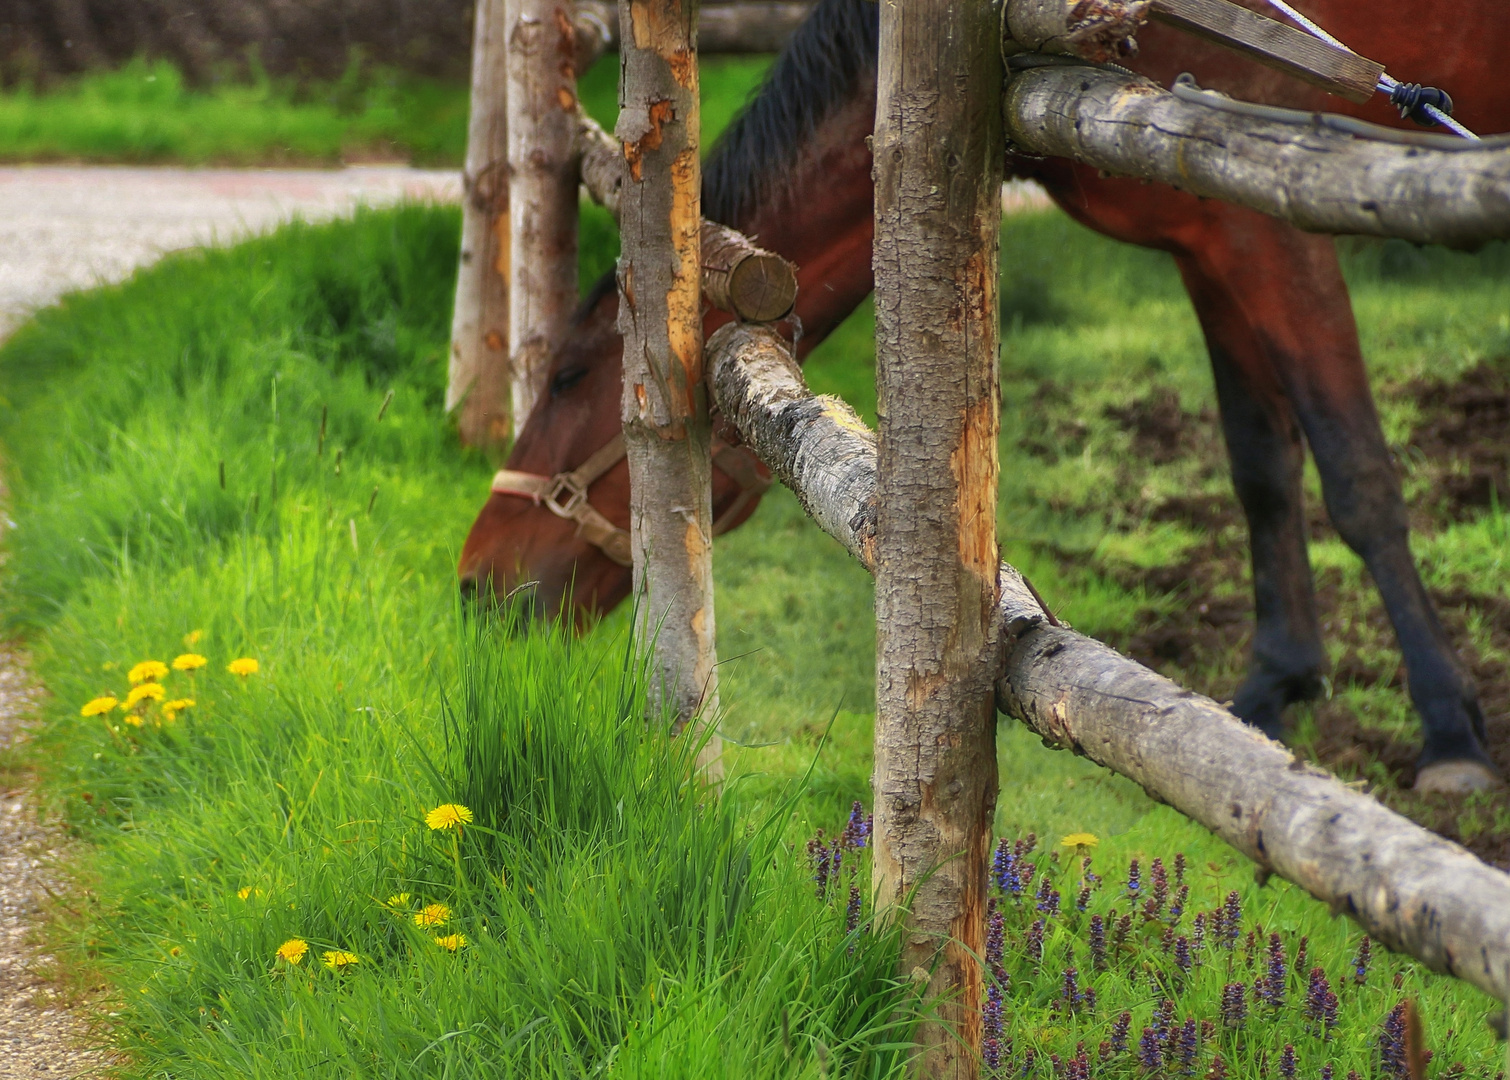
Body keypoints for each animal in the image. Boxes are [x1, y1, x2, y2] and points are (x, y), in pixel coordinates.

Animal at [459, 0, 1510, 791]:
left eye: (569, 376)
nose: (476, 582)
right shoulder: (1212, 240)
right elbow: (1260, 465)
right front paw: (1274, 685)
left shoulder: (1278, 227)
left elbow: (1356, 472)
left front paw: (1449, 732)